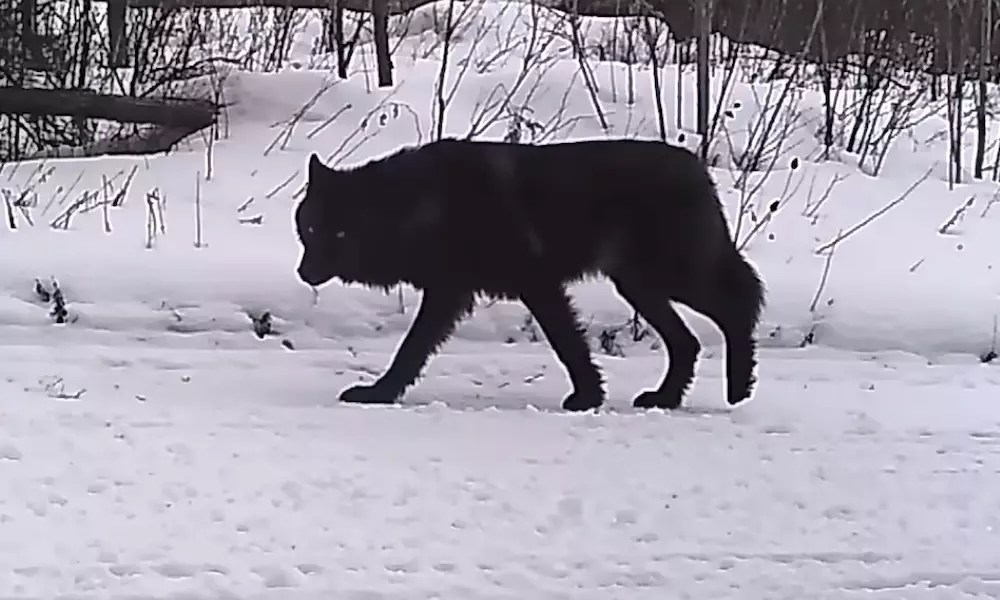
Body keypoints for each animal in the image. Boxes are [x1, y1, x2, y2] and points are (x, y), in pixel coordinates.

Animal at [294, 138, 765, 412]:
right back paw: (664, 398)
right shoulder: (450, 293)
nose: (303, 271)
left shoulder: (535, 285)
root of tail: (697, 167)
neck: (422, 203)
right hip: (639, 285)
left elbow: (567, 344)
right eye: (311, 228)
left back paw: (738, 385)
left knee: (739, 301)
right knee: (687, 341)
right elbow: (411, 351)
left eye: (340, 232)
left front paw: (587, 397)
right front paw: (380, 394)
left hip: (672, 276)